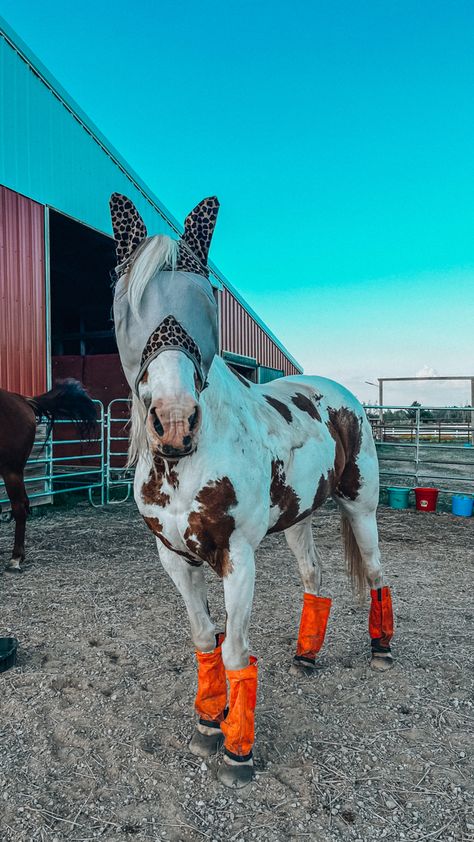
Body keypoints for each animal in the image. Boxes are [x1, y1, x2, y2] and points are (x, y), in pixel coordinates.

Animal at [110, 194, 392, 784]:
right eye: (126, 303)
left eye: (205, 299)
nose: (174, 421)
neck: (189, 461)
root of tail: (342, 397)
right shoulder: (175, 558)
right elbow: (205, 642)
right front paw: (207, 724)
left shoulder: (236, 557)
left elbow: (237, 652)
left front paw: (237, 752)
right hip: (299, 519)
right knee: (315, 579)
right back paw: (306, 656)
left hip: (361, 508)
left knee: (377, 572)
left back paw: (382, 649)